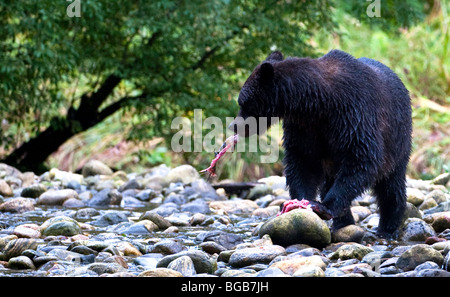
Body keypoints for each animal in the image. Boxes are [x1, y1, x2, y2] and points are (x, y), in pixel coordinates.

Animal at [230, 49, 414, 237]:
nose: (234, 126)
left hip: (398, 139)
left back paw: (388, 226)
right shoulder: (305, 128)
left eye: (243, 102)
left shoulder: (354, 116)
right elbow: (303, 160)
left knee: (391, 186)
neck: (318, 104)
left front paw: (324, 206)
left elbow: (362, 158)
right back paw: (343, 222)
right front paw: (300, 202)